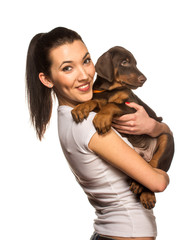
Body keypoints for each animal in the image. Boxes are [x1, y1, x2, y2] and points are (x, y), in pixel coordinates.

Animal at [71, 46, 175, 209]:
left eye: (135, 63)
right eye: (124, 62)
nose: (144, 79)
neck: (109, 90)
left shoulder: (132, 107)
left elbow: (112, 104)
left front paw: (101, 118)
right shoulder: (100, 98)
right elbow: (97, 101)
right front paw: (81, 107)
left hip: (166, 140)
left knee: (154, 166)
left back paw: (145, 193)